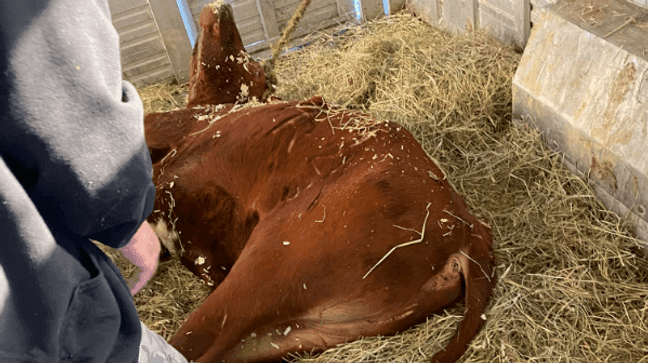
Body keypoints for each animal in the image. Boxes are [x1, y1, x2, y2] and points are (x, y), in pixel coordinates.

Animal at [143, 1, 496, 362]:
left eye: (251, 65)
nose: (223, 8)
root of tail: (467, 226)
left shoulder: (173, 138)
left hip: (274, 262)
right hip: (308, 330)